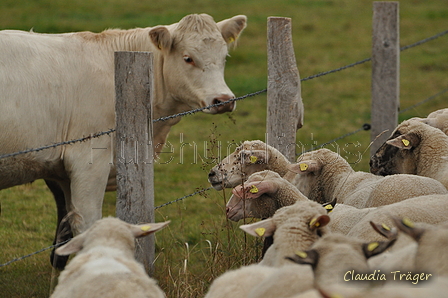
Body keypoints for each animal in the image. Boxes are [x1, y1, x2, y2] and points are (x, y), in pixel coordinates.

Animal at [0, 12, 247, 266]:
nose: (224, 100)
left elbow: (65, 230)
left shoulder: (61, 173)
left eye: (224, 57)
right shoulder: (88, 162)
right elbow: (87, 225)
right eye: (188, 58)